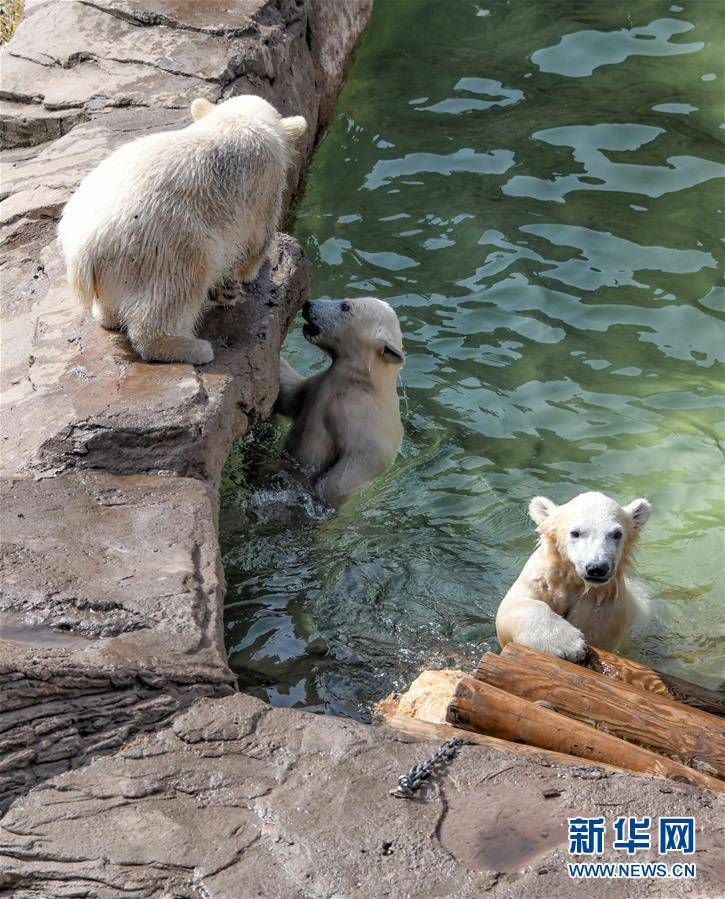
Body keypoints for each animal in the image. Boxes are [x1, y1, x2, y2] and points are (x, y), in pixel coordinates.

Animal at [57, 95, 306, 366]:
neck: (237, 120)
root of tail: (84, 248)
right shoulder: (263, 181)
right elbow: (259, 234)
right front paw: (255, 268)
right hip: (162, 244)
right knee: (179, 287)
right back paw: (194, 348)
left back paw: (106, 315)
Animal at [272, 296, 404, 506]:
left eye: (345, 306)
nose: (308, 304)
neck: (362, 384)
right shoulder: (315, 387)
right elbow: (289, 393)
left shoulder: (364, 419)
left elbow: (361, 461)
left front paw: (321, 490)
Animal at [494, 492, 652, 660]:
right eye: (575, 532)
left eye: (617, 534)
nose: (597, 568)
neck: (575, 582)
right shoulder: (541, 581)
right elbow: (511, 607)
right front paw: (565, 644)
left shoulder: (605, 610)